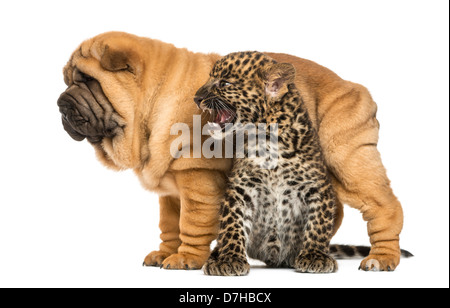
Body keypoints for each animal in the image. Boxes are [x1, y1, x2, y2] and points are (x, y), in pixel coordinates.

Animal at [58, 31, 406, 272]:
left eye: (88, 81)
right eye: (67, 81)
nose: (61, 103)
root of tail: (357, 89)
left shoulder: (198, 179)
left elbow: (191, 224)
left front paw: (185, 258)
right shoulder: (170, 192)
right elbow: (169, 225)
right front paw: (166, 252)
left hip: (349, 165)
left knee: (386, 209)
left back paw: (381, 258)